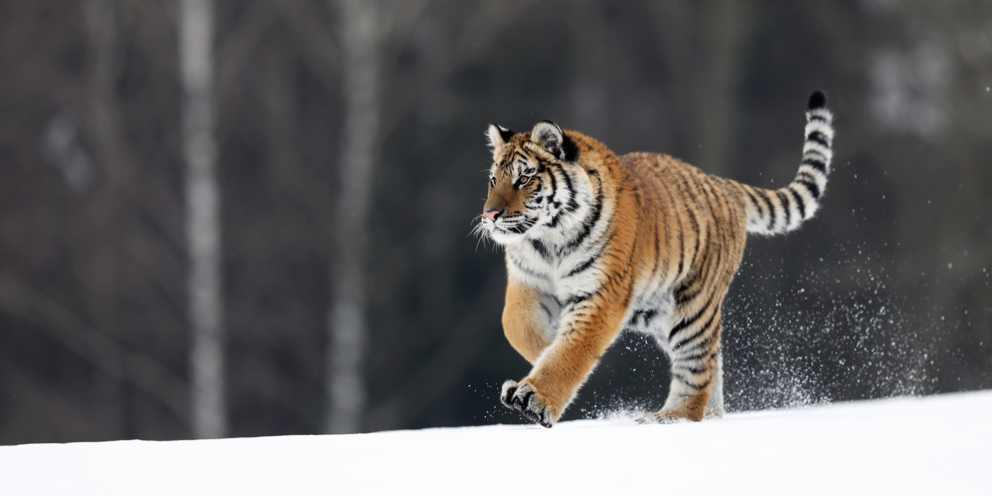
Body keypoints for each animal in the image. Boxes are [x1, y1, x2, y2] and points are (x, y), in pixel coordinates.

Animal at [476, 91, 835, 427]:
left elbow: (573, 350)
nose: (490, 215)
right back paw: (708, 416)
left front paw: (535, 398)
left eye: (524, 178)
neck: (549, 240)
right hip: (657, 312)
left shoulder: (602, 292)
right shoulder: (528, 283)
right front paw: (539, 359)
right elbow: (518, 327)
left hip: (693, 308)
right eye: (494, 180)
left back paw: (669, 418)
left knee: (696, 370)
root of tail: (721, 184)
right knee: (711, 363)